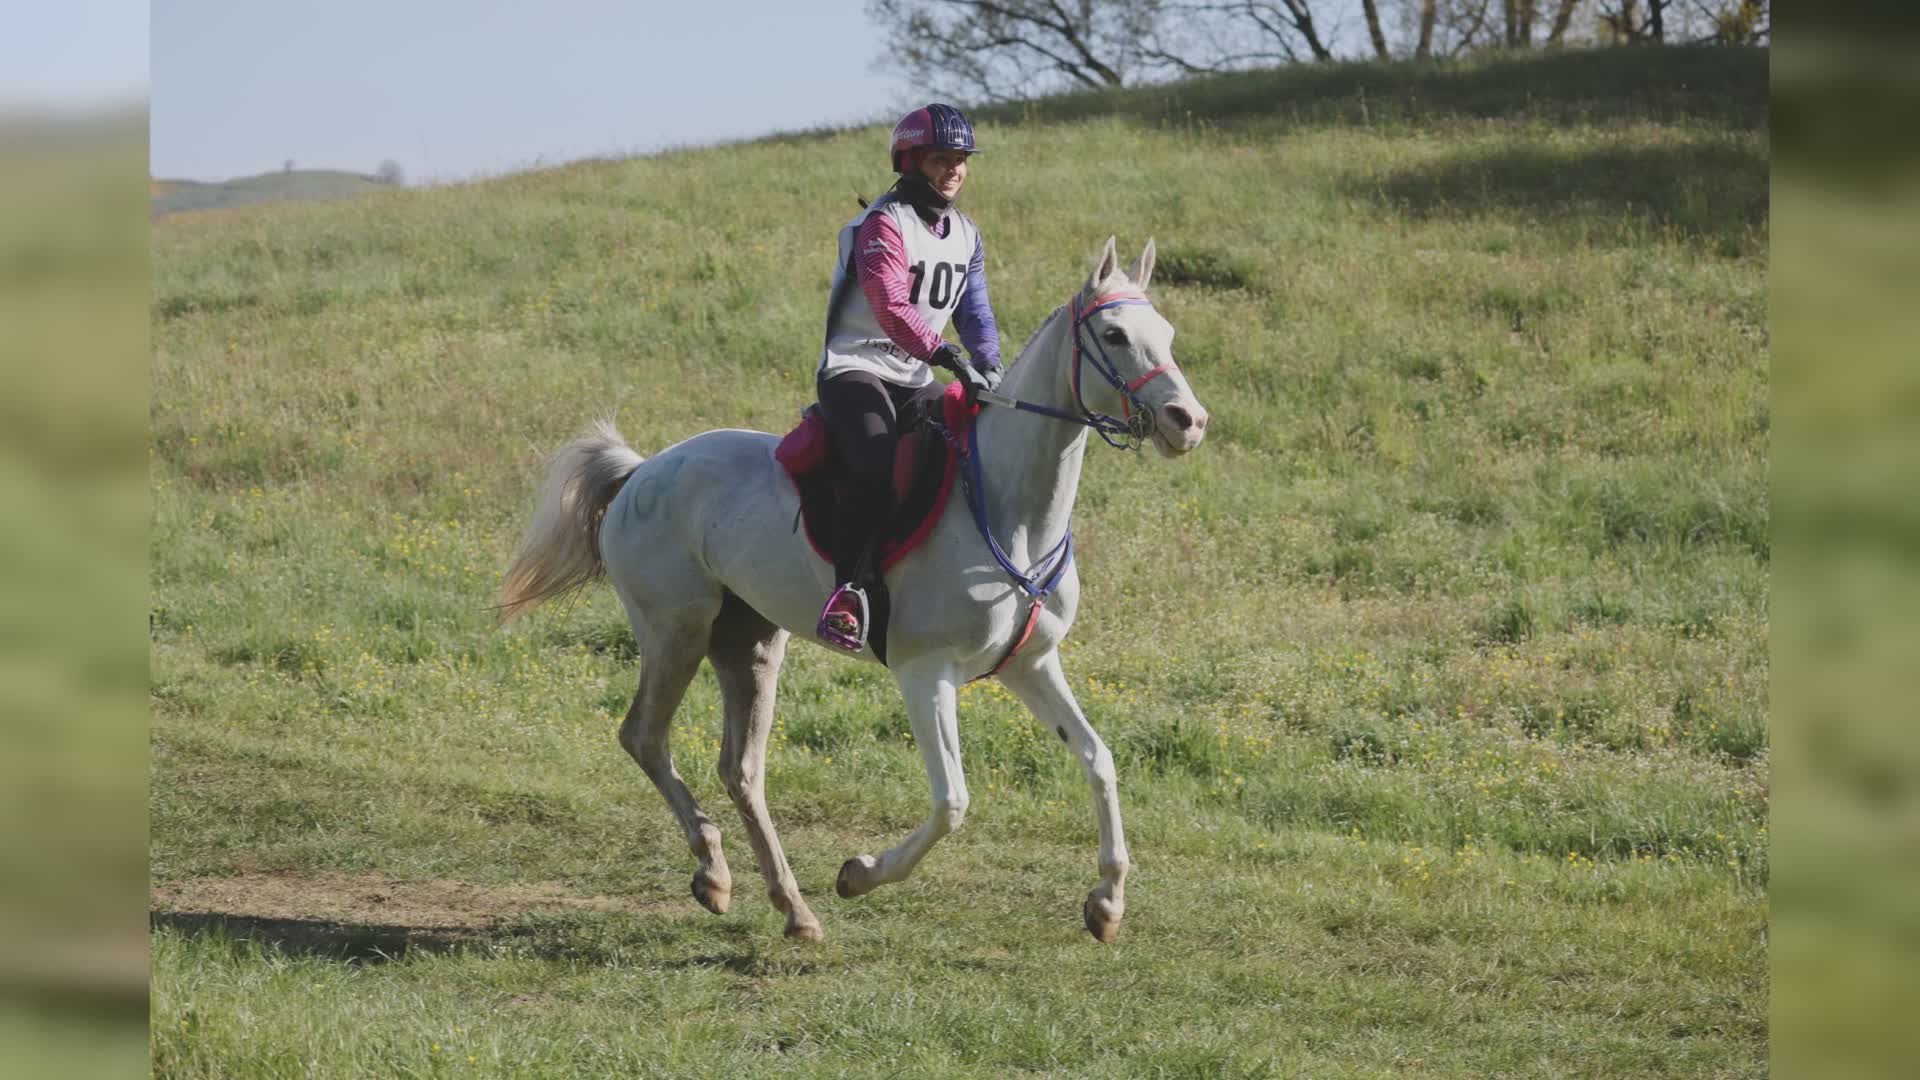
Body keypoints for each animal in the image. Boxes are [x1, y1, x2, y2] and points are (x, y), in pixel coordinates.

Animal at [503, 239, 1205, 937]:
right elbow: (952, 801)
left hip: (750, 644)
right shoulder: (925, 673)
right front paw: (860, 873)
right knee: (646, 737)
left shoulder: (1030, 663)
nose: (1189, 421)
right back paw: (714, 872)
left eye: (1168, 334)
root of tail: (642, 470)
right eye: (1113, 335)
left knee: (741, 770)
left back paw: (792, 909)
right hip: (676, 631)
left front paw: (1107, 901)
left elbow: (1097, 758)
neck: (1011, 509)